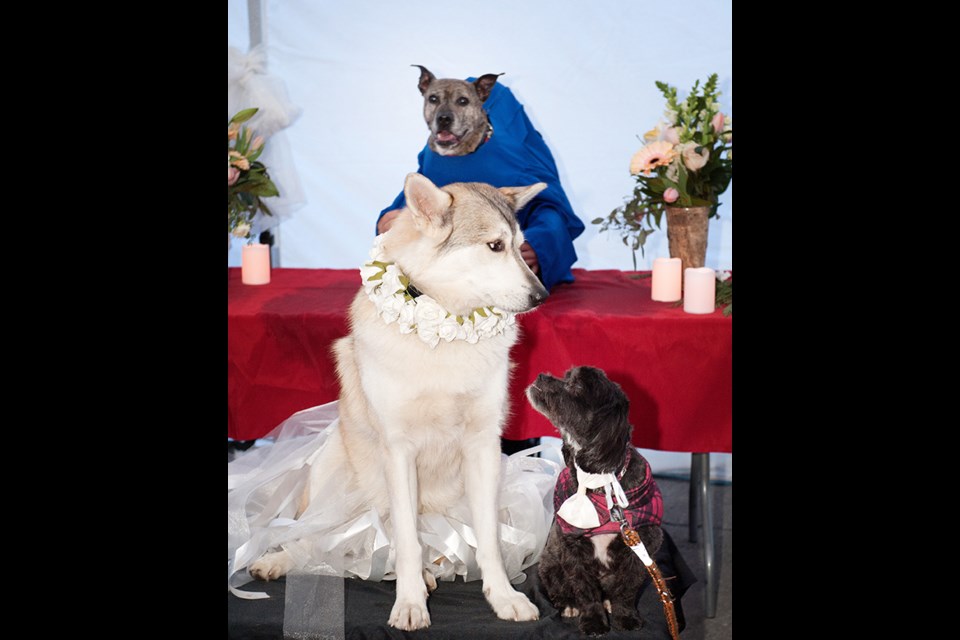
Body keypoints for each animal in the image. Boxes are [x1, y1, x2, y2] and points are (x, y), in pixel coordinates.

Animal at [248, 172, 548, 628]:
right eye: (495, 246)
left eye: (519, 247)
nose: (542, 296)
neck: (444, 334)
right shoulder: (399, 450)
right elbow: (406, 541)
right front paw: (409, 604)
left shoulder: (483, 446)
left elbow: (490, 541)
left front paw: (503, 597)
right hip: (332, 471)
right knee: (315, 539)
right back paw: (277, 561)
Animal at [524, 364, 668, 636]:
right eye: (567, 376)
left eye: (577, 386)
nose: (540, 376)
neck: (598, 485)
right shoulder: (572, 546)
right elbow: (585, 591)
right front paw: (592, 621)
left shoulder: (642, 544)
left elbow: (626, 589)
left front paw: (626, 617)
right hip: (549, 562)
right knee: (559, 588)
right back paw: (568, 605)